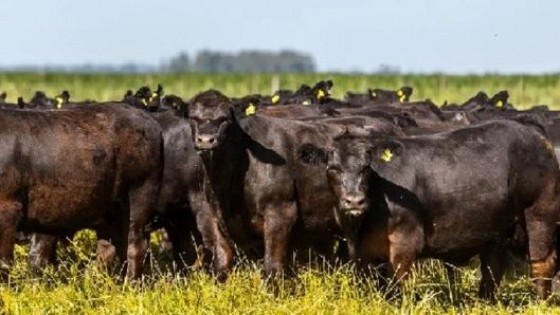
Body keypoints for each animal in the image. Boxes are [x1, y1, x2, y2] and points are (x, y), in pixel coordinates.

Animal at [300, 121, 560, 302]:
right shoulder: (363, 254)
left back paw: (541, 303)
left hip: (539, 216)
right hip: (496, 231)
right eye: (333, 168)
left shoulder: (405, 245)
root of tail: (540, 141)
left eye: (366, 168)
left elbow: (397, 287)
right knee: (492, 269)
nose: (354, 201)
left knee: (542, 264)